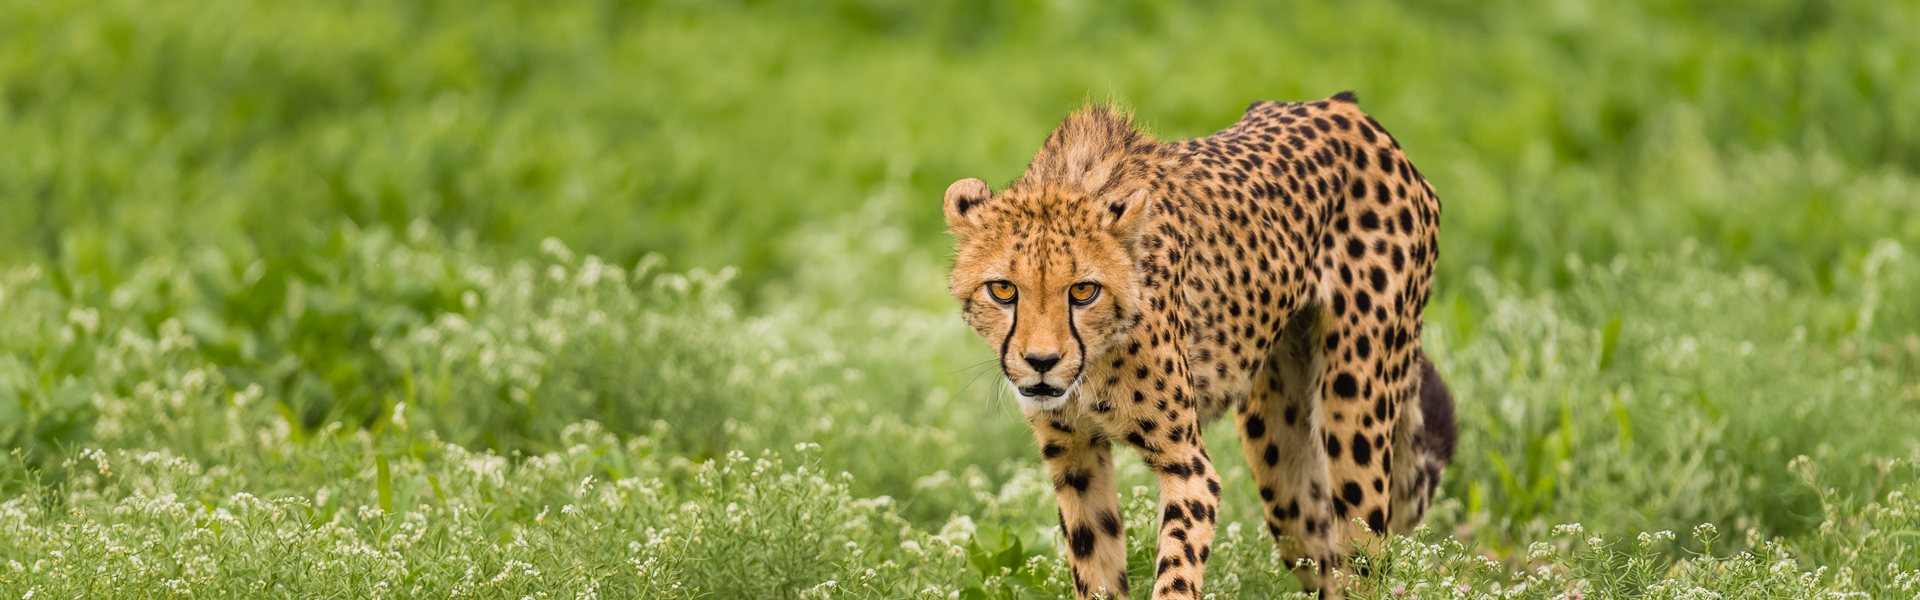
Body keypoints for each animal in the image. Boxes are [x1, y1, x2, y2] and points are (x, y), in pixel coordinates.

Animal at [940, 91, 1451, 596]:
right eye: (1002, 289)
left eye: (1083, 290)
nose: (1042, 361)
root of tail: (1343, 106)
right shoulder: (1074, 459)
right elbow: (1096, 566)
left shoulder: (1188, 466)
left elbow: (1176, 571)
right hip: (1281, 463)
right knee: (1317, 550)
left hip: (1355, 414)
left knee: (1363, 557)